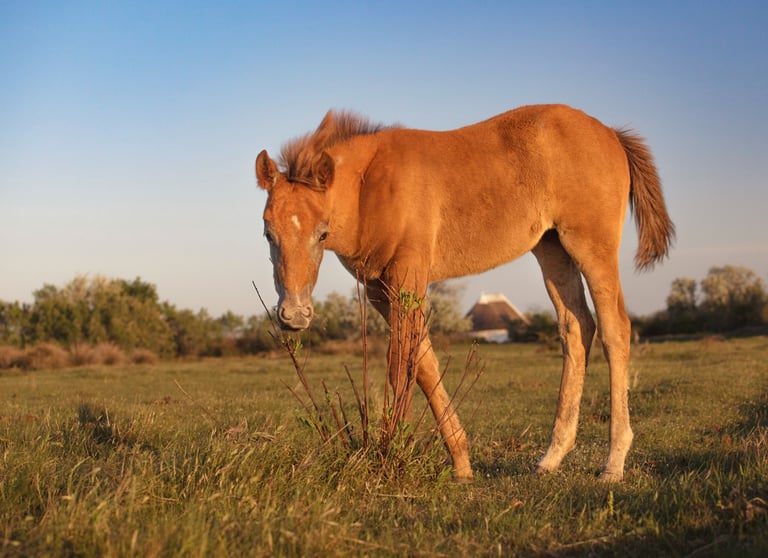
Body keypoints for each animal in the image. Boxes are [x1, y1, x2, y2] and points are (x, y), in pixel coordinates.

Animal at [255, 104, 674, 481]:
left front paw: (392, 452)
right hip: (552, 247)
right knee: (576, 328)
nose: (295, 315)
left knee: (615, 328)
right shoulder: (380, 290)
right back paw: (551, 457)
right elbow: (424, 363)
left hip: (592, 246)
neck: (369, 187)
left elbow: (400, 365)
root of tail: (611, 133)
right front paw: (460, 461)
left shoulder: (408, 276)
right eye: (267, 233)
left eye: (322, 233)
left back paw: (613, 463)